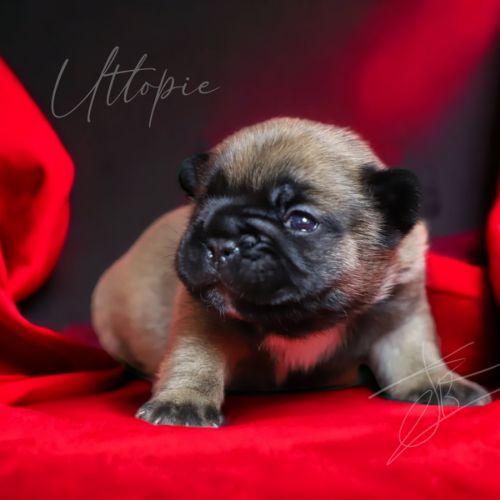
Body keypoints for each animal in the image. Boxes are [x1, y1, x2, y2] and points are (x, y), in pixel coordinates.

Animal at [91, 117, 491, 427]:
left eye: (300, 221)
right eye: (201, 206)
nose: (221, 239)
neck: (301, 319)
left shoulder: (399, 308)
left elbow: (413, 351)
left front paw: (437, 383)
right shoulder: (201, 316)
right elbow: (195, 357)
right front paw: (182, 401)